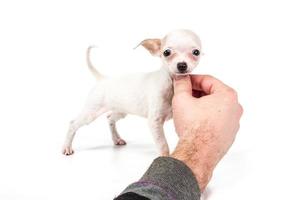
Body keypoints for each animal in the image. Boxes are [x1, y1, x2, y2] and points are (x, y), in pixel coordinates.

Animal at [62, 28, 201, 156]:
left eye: (196, 52)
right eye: (167, 52)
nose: (182, 65)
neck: (170, 83)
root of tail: (103, 79)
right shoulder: (154, 122)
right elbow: (163, 145)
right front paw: (165, 157)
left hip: (121, 111)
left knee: (109, 118)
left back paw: (116, 139)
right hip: (91, 112)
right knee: (73, 123)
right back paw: (67, 147)